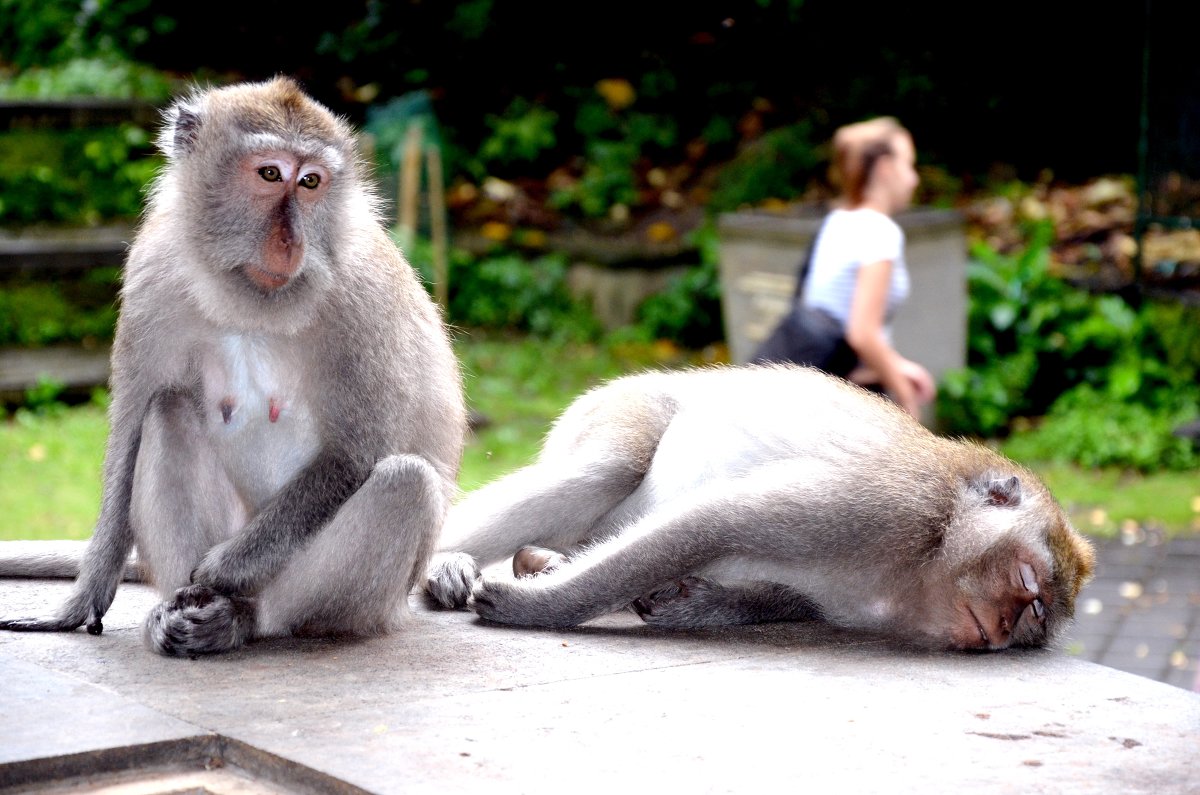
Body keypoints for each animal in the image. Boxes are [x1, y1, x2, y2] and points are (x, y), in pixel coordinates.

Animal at [0, 78, 463, 658]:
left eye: (311, 182)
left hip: (323, 593)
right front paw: (82, 601)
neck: (252, 300)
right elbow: (129, 436)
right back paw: (184, 611)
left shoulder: (364, 299)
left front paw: (220, 570)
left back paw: (239, 615)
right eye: (270, 174)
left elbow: (353, 455)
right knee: (167, 410)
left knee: (406, 483)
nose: (291, 242)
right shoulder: (153, 274)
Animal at [429, 367, 1099, 653]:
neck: (928, 559)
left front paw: (693, 603)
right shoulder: (891, 504)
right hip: (621, 406)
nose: (1008, 626)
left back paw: (543, 558)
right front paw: (533, 608)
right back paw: (445, 561)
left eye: (1037, 619)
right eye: (1028, 585)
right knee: (604, 470)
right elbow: (720, 517)